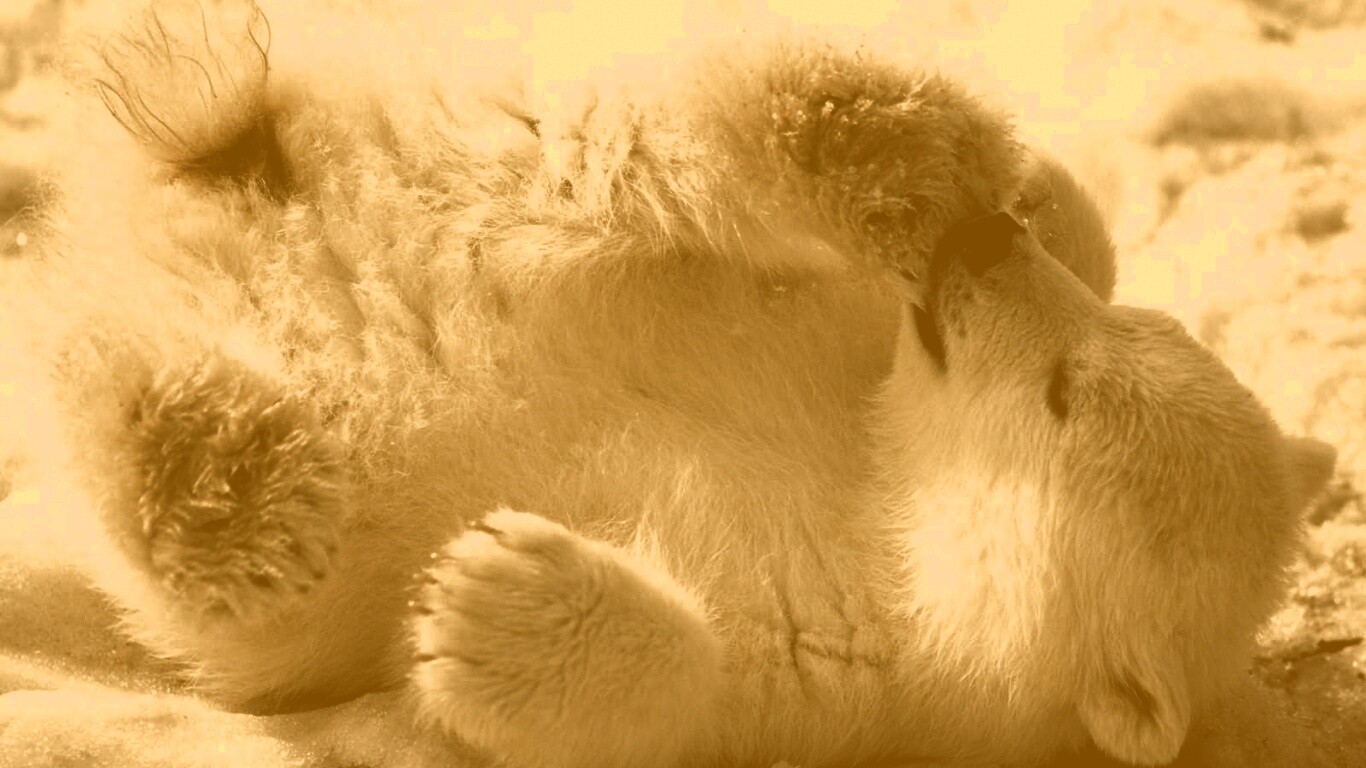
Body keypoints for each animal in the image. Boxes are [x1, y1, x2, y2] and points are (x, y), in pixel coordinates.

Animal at [0, 1, 1335, 767]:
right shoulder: (844, 340)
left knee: (214, 518)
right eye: (1119, 333)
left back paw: (209, 458)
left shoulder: (843, 685)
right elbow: (1057, 226)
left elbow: (654, 698)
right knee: (615, 143)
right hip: (494, 166)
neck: (878, 490)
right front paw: (1020, 194)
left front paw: (486, 599)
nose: (977, 250)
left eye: (1064, 391)